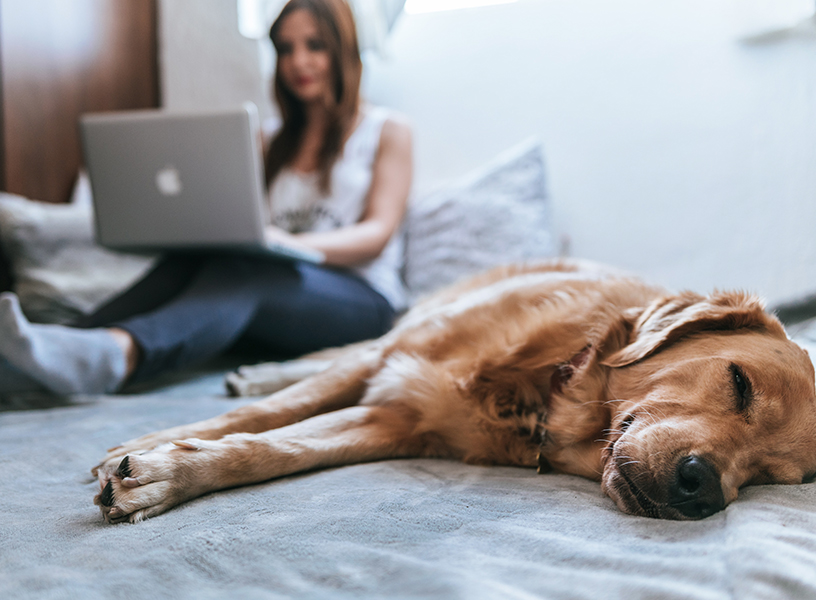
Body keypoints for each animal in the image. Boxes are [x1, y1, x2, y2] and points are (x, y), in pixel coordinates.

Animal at [91, 260, 816, 524]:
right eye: (739, 383)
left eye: (777, 476)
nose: (703, 488)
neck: (547, 385)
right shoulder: (391, 361)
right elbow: (271, 413)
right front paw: (153, 447)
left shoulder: (392, 421)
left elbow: (273, 448)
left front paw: (165, 474)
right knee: (324, 360)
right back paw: (257, 370)